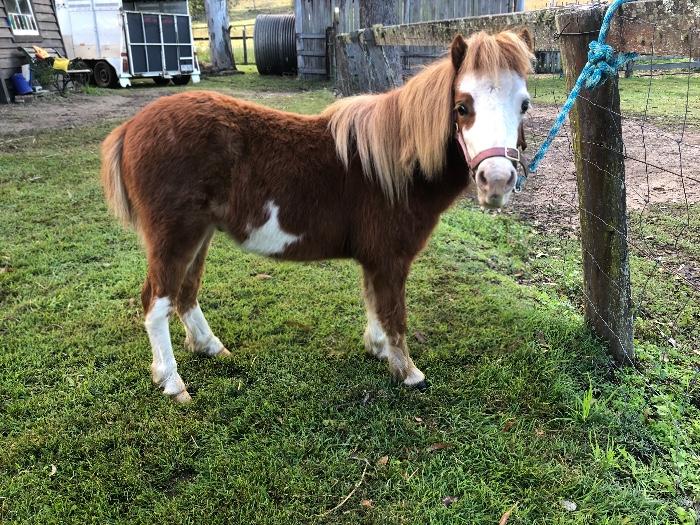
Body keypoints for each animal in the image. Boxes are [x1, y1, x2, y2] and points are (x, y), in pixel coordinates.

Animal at [100, 29, 534, 402]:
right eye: (462, 106)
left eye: (524, 105)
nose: (497, 181)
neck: (394, 166)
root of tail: (131, 127)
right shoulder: (390, 259)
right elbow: (394, 313)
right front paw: (407, 371)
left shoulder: (375, 260)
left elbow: (374, 304)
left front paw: (377, 349)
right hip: (175, 237)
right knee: (156, 303)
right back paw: (172, 382)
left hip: (199, 234)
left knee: (185, 293)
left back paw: (209, 347)